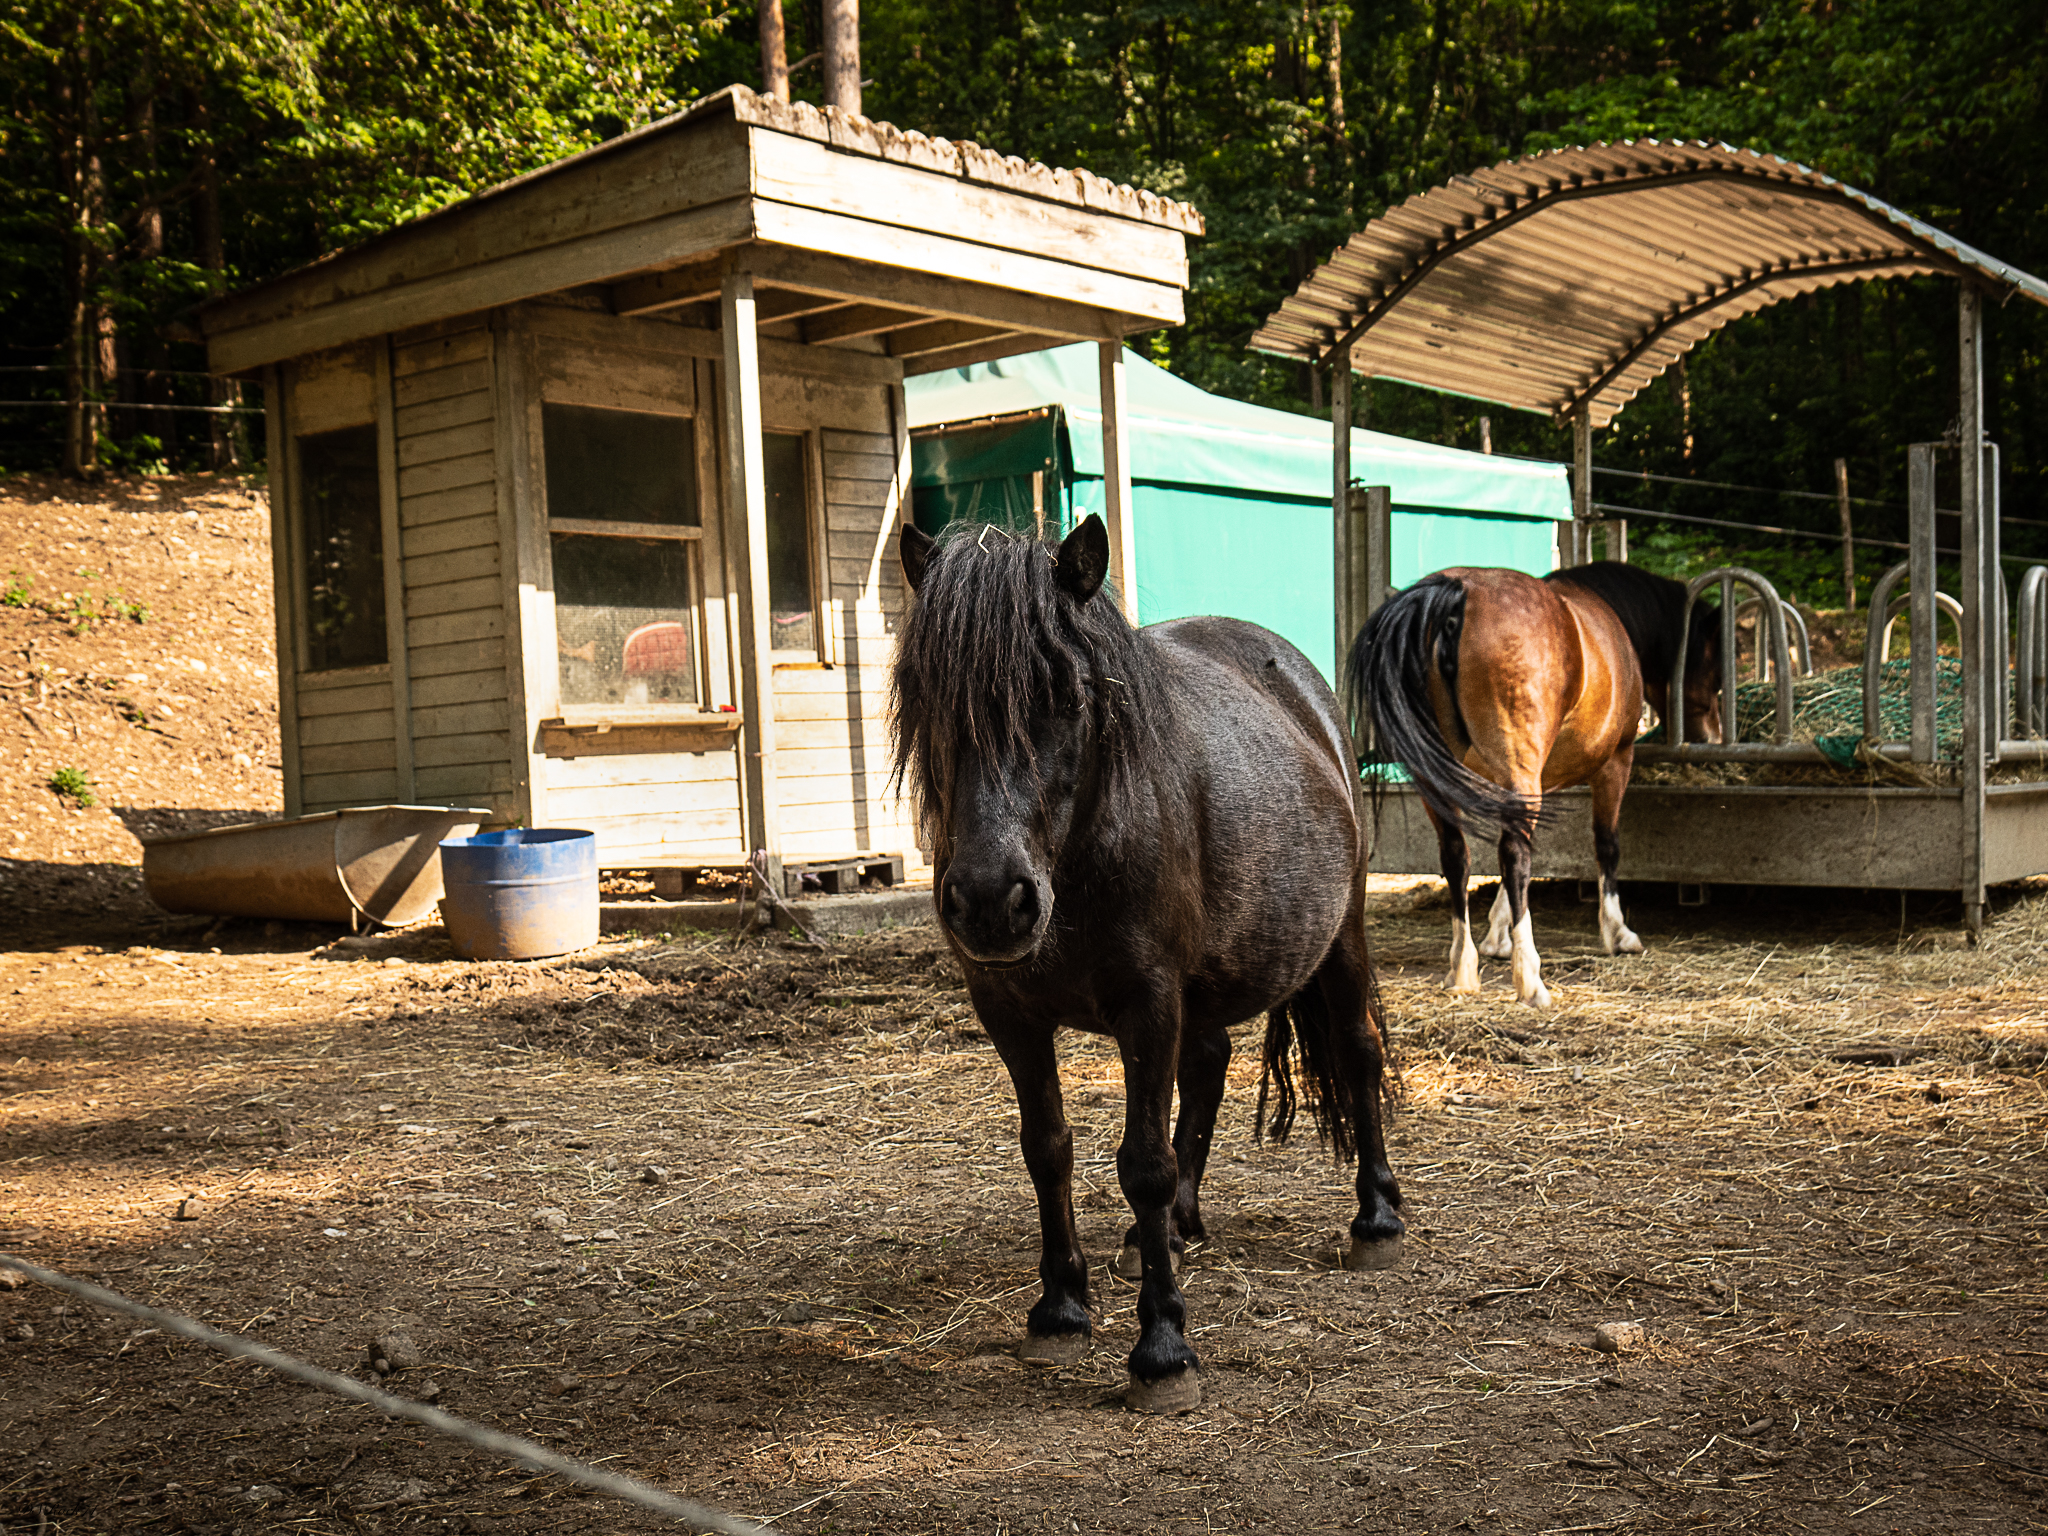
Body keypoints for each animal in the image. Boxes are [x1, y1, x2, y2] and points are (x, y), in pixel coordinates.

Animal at [891, 514, 1405, 1413]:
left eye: (1067, 695)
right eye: (930, 697)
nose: (991, 900)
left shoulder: (1148, 1002)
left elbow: (1144, 1163)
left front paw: (1163, 1349)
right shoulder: (1009, 1011)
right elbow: (1047, 1147)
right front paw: (1061, 1308)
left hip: (1340, 933)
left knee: (1356, 1050)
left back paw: (1376, 1220)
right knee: (1208, 1066)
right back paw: (1165, 1232)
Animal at [1346, 561, 1722, 1009]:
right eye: (1713, 670)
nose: (1711, 738)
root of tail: (1457, 594)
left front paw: (1496, 934)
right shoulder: (1615, 762)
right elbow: (1606, 844)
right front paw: (1617, 931)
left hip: (1437, 779)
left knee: (1457, 855)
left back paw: (1463, 967)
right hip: (1522, 766)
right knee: (1514, 855)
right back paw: (1529, 978)